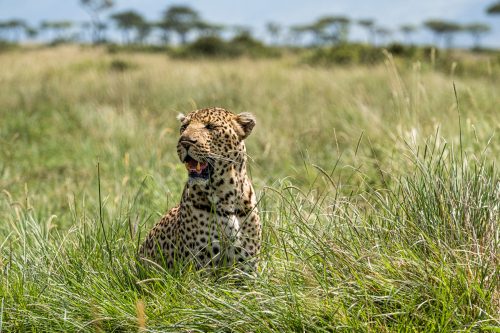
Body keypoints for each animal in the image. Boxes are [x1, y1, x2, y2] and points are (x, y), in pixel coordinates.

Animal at [138, 107, 262, 272]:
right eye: (184, 127)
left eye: (210, 126)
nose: (185, 141)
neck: (227, 196)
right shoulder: (200, 268)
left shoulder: (246, 269)